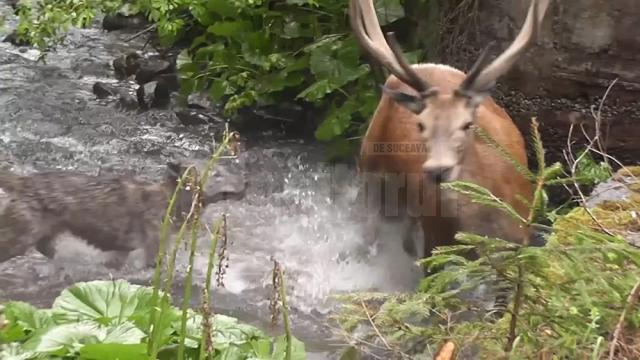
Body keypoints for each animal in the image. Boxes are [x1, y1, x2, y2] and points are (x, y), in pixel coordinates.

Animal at [350, 0, 552, 276]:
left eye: (467, 124)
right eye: (421, 124)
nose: (438, 170)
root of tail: (422, 64)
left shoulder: (519, 238)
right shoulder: (434, 242)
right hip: (369, 162)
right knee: (371, 227)